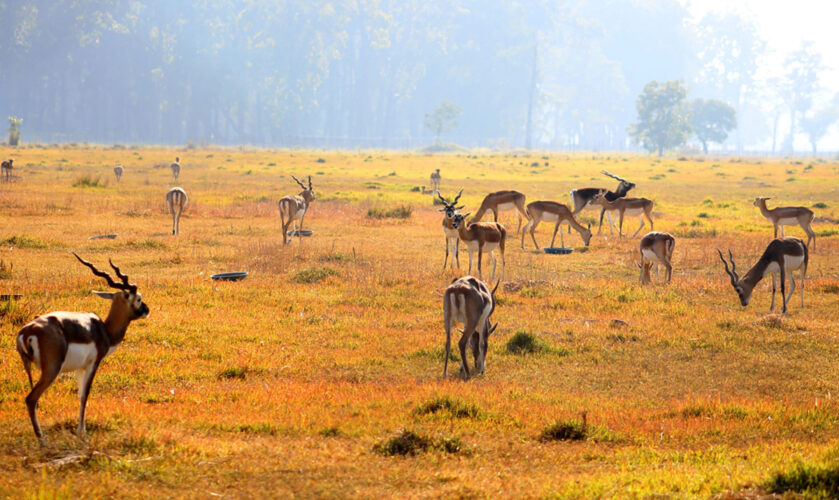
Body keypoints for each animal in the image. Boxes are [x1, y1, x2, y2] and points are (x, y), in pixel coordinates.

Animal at [16, 254, 149, 442]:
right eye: (138, 298)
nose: (147, 310)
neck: (104, 330)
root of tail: (27, 330)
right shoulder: (93, 363)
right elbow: (86, 394)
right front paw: (81, 431)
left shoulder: (79, 368)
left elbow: (79, 395)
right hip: (51, 370)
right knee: (30, 399)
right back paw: (42, 440)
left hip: (30, 368)